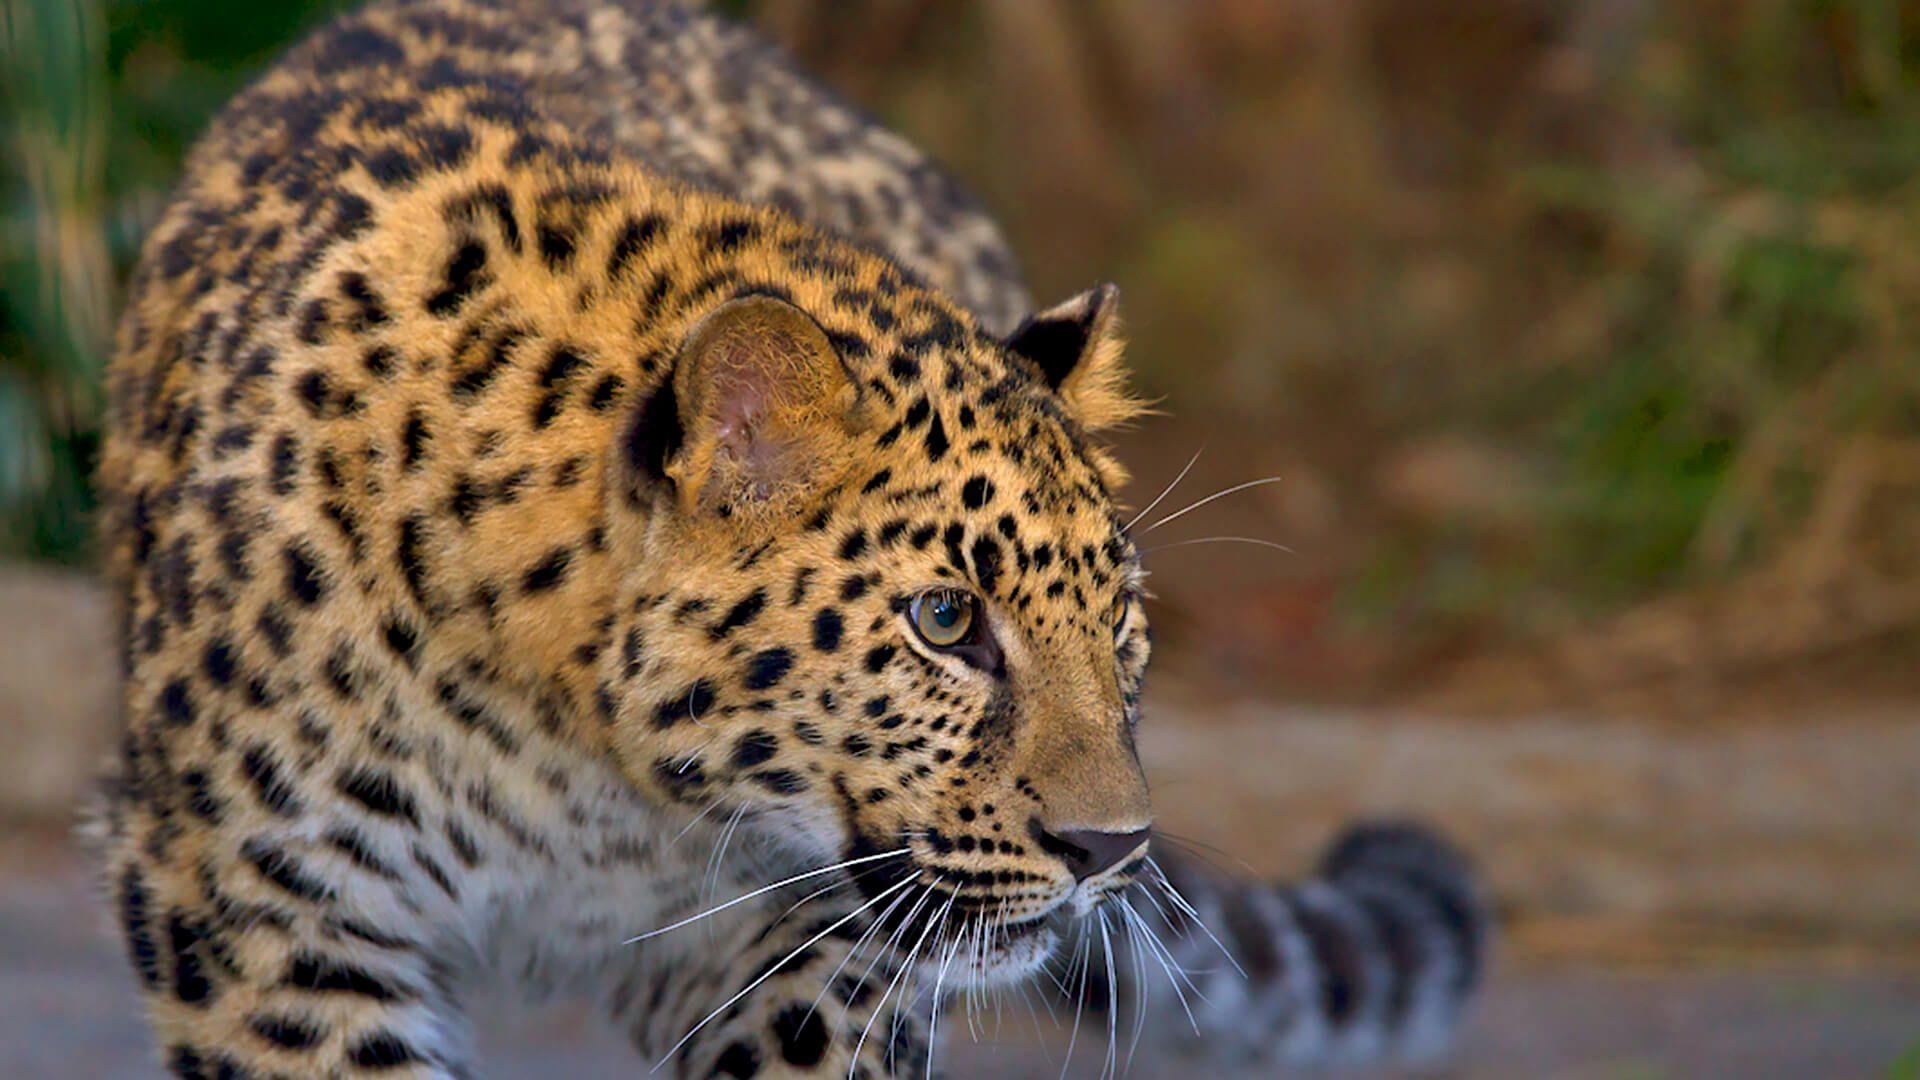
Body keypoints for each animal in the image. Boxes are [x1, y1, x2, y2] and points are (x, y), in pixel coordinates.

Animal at [95, 0, 1489, 1075]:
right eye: (946, 621)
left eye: (1121, 624)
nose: (1114, 852)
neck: (583, 767)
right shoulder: (269, 914)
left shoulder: (812, 950)